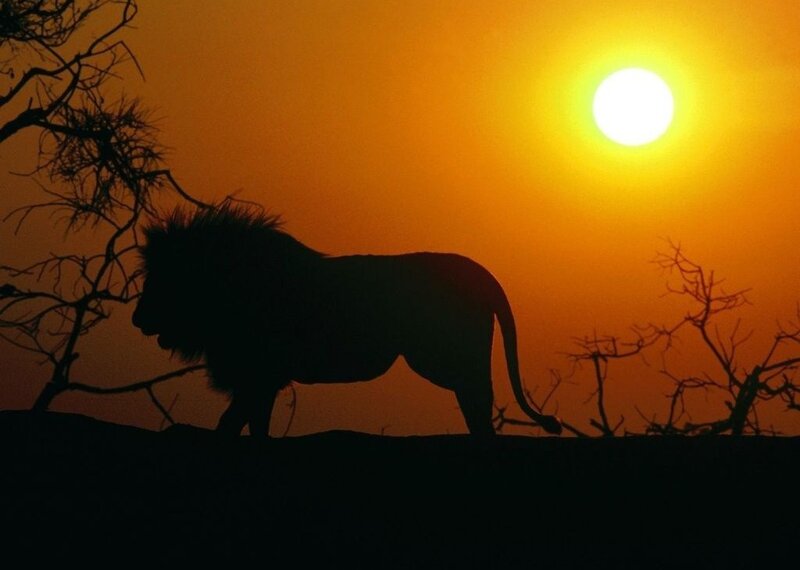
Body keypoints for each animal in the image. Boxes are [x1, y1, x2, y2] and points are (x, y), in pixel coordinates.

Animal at [132, 204, 562, 437]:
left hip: (443, 358)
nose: (137, 319)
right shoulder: (260, 379)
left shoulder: (260, 374)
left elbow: (234, 420)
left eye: (163, 280)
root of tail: (481, 273)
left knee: (477, 398)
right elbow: (251, 423)